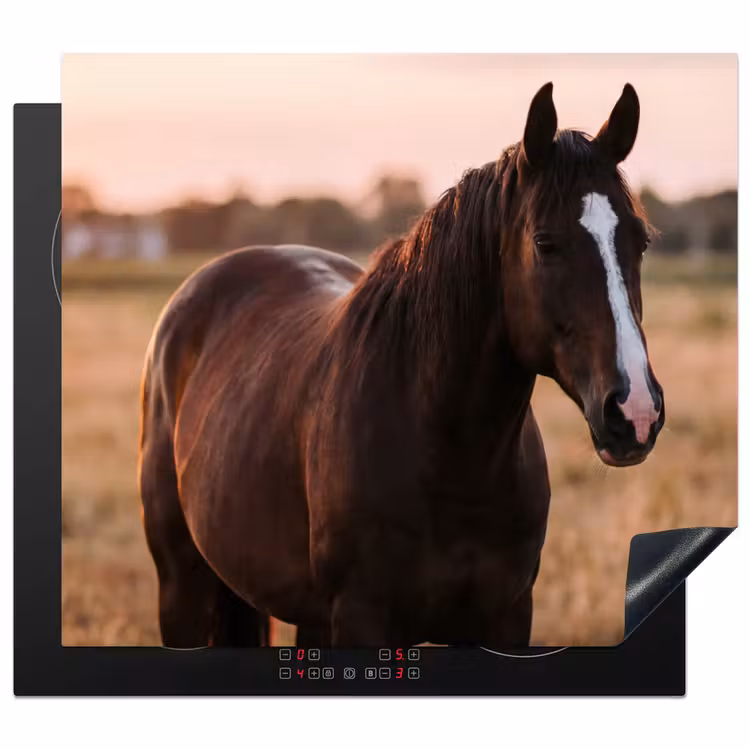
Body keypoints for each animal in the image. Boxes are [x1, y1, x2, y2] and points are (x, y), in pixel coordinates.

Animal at [138, 82, 665, 648]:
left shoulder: (506, 616)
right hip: (182, 588)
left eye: (640, 240)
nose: (635, 412)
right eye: (545, 243)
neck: (450, 456)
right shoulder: (361, 617)